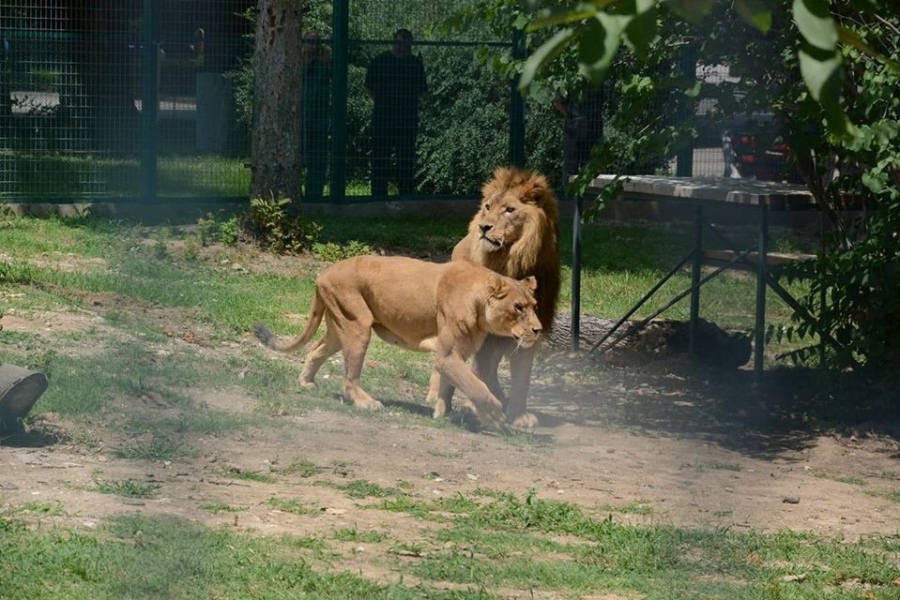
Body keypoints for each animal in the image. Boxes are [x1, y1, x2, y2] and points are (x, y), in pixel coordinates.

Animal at [251, 255, 540, 434]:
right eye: (518, 307)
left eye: (534, 306)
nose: (538, 330)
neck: (479, 303)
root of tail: (322, 274)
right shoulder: (447, 355)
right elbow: (477, 386)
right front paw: (495, 417)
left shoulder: (457, 353)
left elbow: (451, 387)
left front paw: (442, 413)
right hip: (357, 325)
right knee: (348, 378)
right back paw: (366, 402)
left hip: (339, 325)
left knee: (316, 350)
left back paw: (306, 382)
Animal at [432, 166, 560, 428]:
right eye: (488, 207)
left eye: (509, 209)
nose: (483, 227)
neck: (508, 262)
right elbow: (474, 369)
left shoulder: (531, 326)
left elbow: (522, 376)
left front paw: (518, 415)